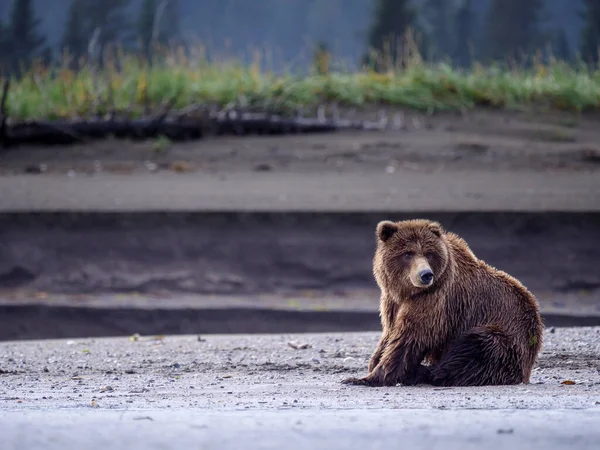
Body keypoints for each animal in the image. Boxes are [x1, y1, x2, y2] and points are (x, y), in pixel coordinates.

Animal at [342, 218, 544, 386]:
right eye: (408, 254)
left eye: (429, 253)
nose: (426, 274)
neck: (409, 292)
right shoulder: (392, 301)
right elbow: (390, 332)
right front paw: (374, 361)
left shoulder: (436, 300)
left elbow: (409, 338)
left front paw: (364, 378)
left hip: (509, 337)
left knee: (476, 348)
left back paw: (424, 373)